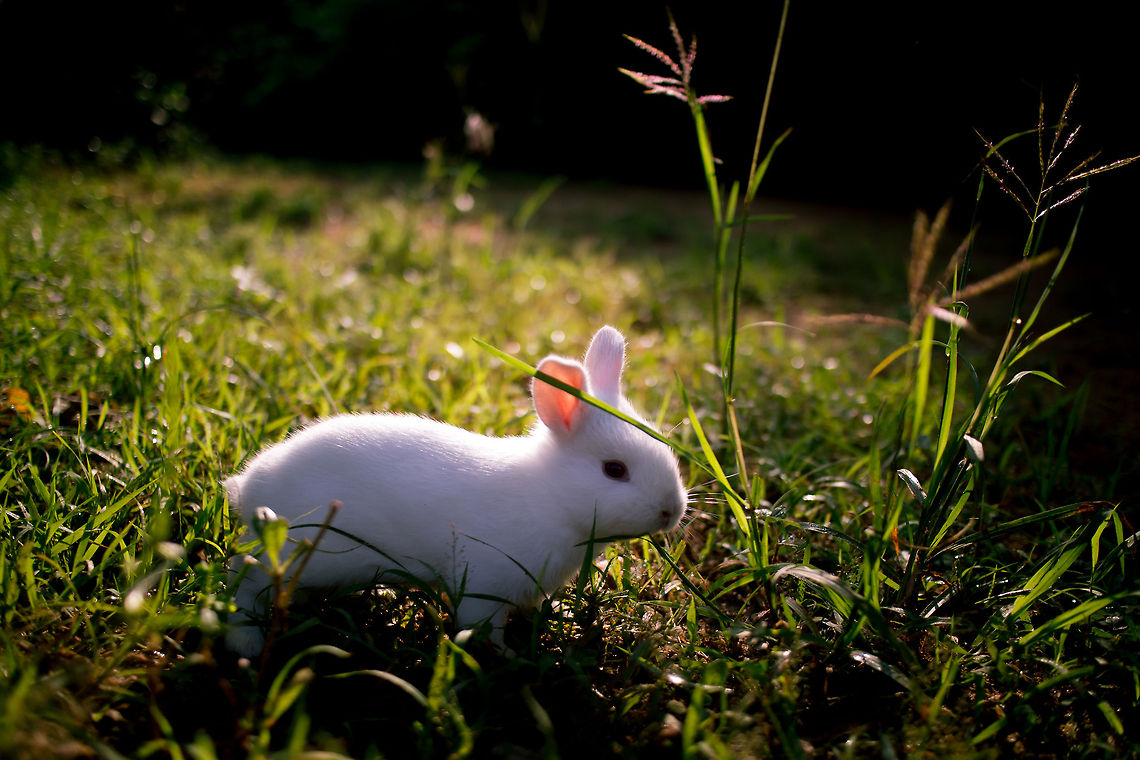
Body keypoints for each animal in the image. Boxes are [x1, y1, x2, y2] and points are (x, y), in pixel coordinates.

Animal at [223, 325, 687, 656]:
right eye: (615, 470)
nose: (672, 511)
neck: (550, 498)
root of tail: (250, 484)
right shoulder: (485, 586)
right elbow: (481, 627)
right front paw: (508, 656)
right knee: (244, 579)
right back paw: (246, 642)